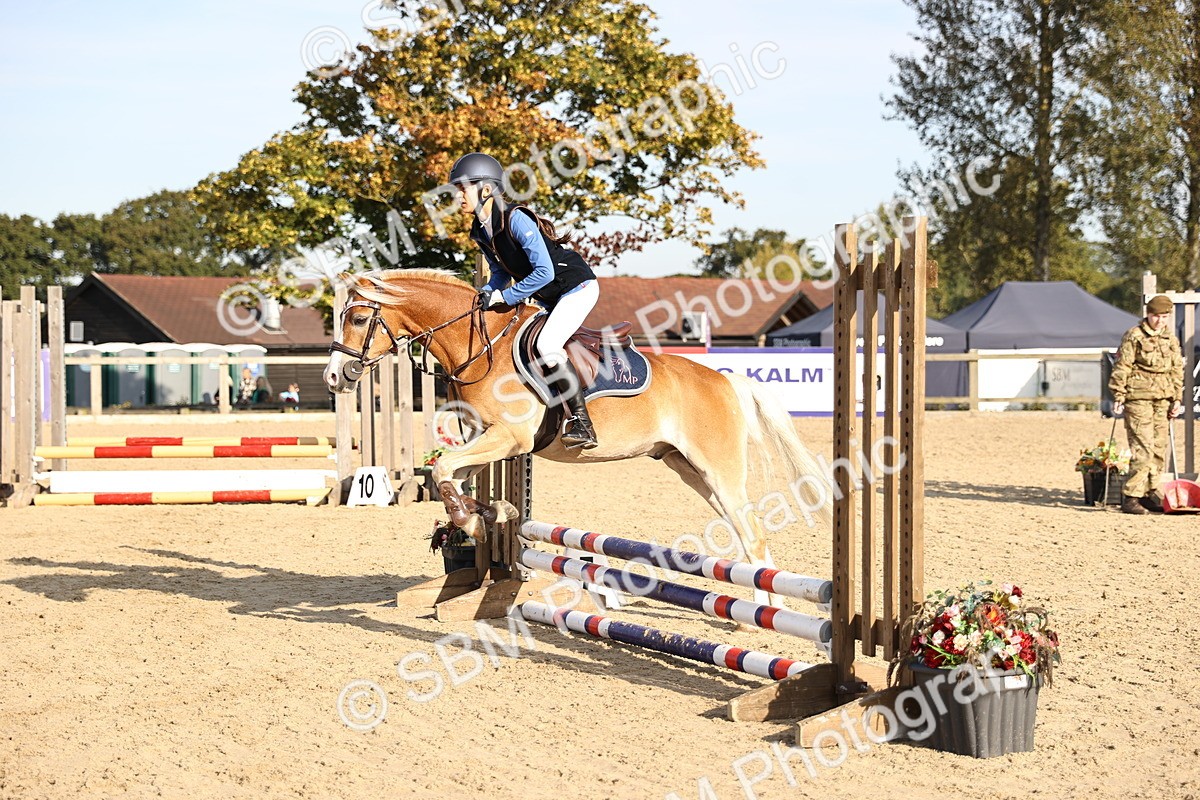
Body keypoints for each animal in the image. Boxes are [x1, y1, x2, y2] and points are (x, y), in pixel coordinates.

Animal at [323, 269, 832, 604]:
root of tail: (726, 380)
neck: (482, 346)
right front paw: (490, 514)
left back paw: (767, 611)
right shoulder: (488, 438)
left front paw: (475, 523)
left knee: (754, 534)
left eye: (359, 320)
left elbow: (444, 467)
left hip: (718, 468)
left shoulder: (511, 438)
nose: (334, 377)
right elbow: (450, 475)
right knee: (745, 534)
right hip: (689, 469)